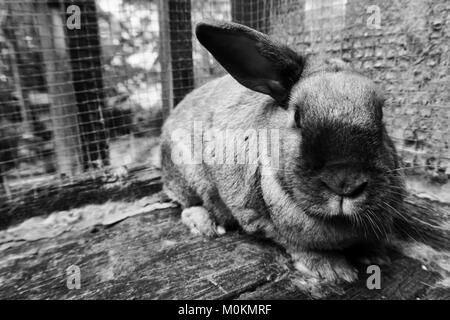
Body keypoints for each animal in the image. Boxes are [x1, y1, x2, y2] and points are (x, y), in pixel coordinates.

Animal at [160, 21, 406, 282]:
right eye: (297, 117)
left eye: (380, 114)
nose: (345, 183)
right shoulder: (257, 218)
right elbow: (296, 244)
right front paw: (334, 269)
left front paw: (375, 254)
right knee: (187, 204)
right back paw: (205, 225)